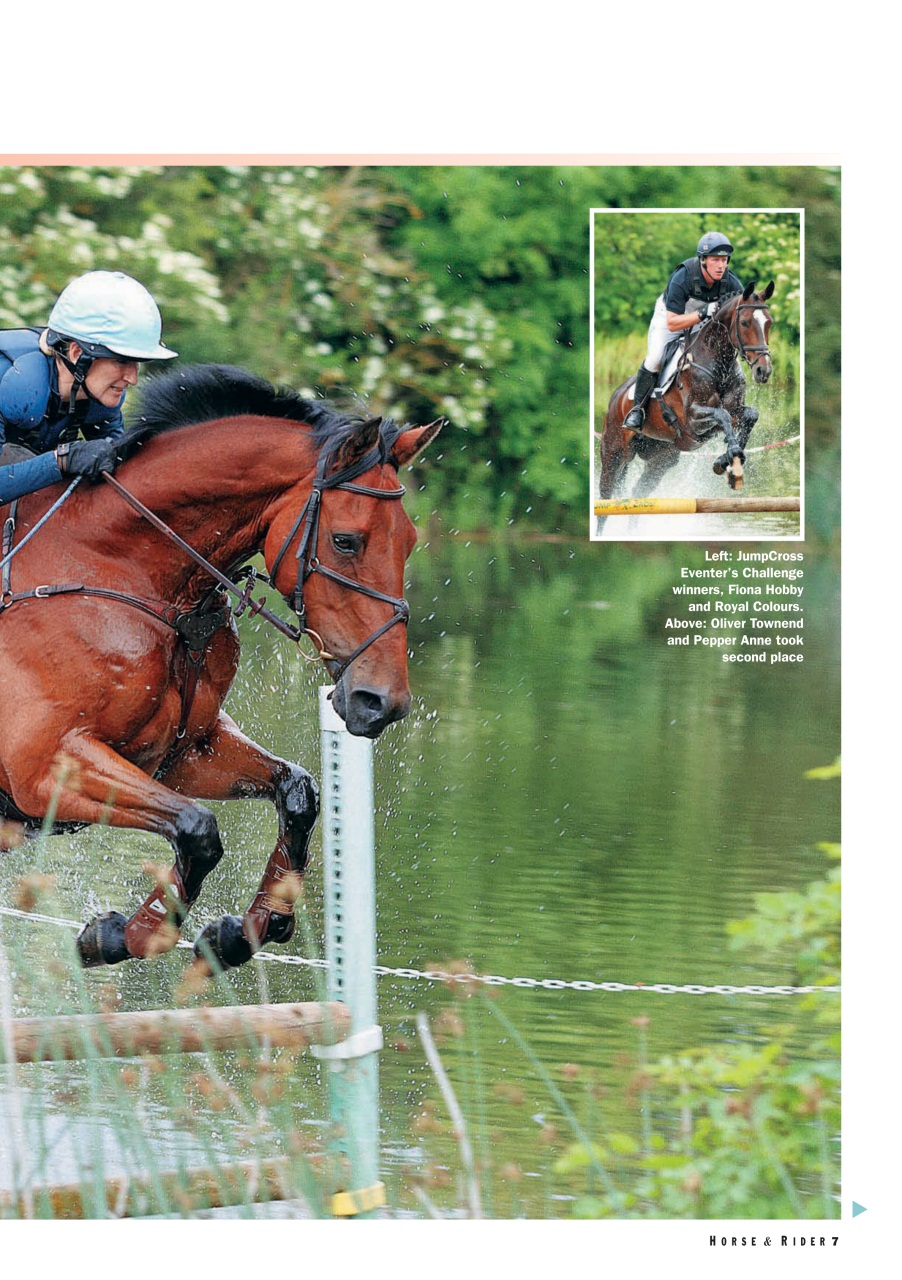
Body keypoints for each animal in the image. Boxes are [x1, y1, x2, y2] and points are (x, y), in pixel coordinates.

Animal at [0, 364, 442, 971]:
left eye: (411, 541)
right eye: (346, 541)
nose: (382, 703)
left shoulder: (185, 752)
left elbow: (297, 794)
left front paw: (246, 929)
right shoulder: (45, 767)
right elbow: (197, 830)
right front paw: (120, 933)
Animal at [597, 282, 775, 524]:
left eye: (769, 322)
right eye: (745, 322)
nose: (763, 371)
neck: (718, 366)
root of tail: (616, 397)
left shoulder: (732, 412)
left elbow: (750, 415)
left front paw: (726, 460)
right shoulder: (692, 419)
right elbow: (722, 415)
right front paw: (731, 456)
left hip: (661, 460)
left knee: (638, 495)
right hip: (614, 454)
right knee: (605, 503)